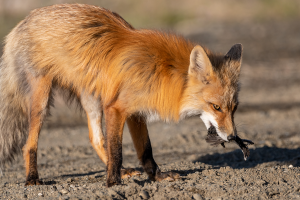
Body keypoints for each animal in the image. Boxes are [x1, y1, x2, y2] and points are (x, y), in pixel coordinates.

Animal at [0, 3, 243, 188]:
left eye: (234, 108)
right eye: (216, 107)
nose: (232, 137)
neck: (162, 70)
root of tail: (25, 19)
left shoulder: (136, 113)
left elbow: (145, 150)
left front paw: (156, 177)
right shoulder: (116, 108)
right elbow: (117, 149)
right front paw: (113, 183)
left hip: (92, 99)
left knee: (95, 139)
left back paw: (121, 170)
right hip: (42, 101)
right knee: (29, 144)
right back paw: (32, 178)